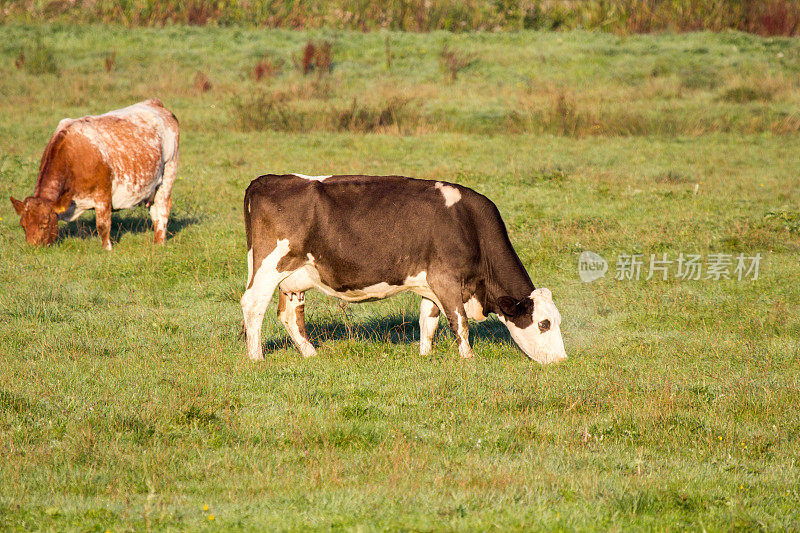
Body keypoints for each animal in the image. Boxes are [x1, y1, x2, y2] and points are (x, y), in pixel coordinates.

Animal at [9, 99, 178, 249]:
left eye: (44, 224)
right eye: (23, 226)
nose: (33, 249)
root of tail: (155, 103)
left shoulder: (103, 192)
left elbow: (103, 225)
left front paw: (107, 249)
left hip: (169, 168)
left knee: (162, 208)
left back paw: (159, 243)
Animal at [241, 174, 564, 362]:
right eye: (543, 323)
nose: (562, 359)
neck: (470, 224)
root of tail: (265, 180)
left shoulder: (430, 283)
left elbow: (428, 321)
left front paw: (425, 356)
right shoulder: (446, 279)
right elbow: (459, 322)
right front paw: (469, 360)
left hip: (294, 277)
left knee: (289, 314)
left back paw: (310, 354)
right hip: (270, 265)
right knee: (253, 304)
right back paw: (256, 358)